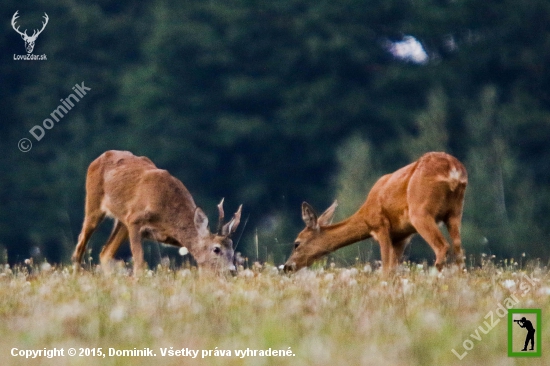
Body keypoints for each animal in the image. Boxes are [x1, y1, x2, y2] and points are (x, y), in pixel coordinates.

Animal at [71, 150, 244, 274]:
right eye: (216, 249)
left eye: (232, 247)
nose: (231, 270)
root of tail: (98, 158)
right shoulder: (134, 220)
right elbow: (140, 263)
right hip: (94, 204)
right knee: (80, 245)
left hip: (121, 222)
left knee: (105, 253)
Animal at [284, 150, 470, 274]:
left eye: (296, 243)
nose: (287, 267)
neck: (366, 214)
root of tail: (454, 171)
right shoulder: (402, 236)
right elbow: (393, 268)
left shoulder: (381, 226)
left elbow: (386, 268)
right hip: (455, 213)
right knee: (459, 253)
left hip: (420, 212)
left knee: (442, 246)